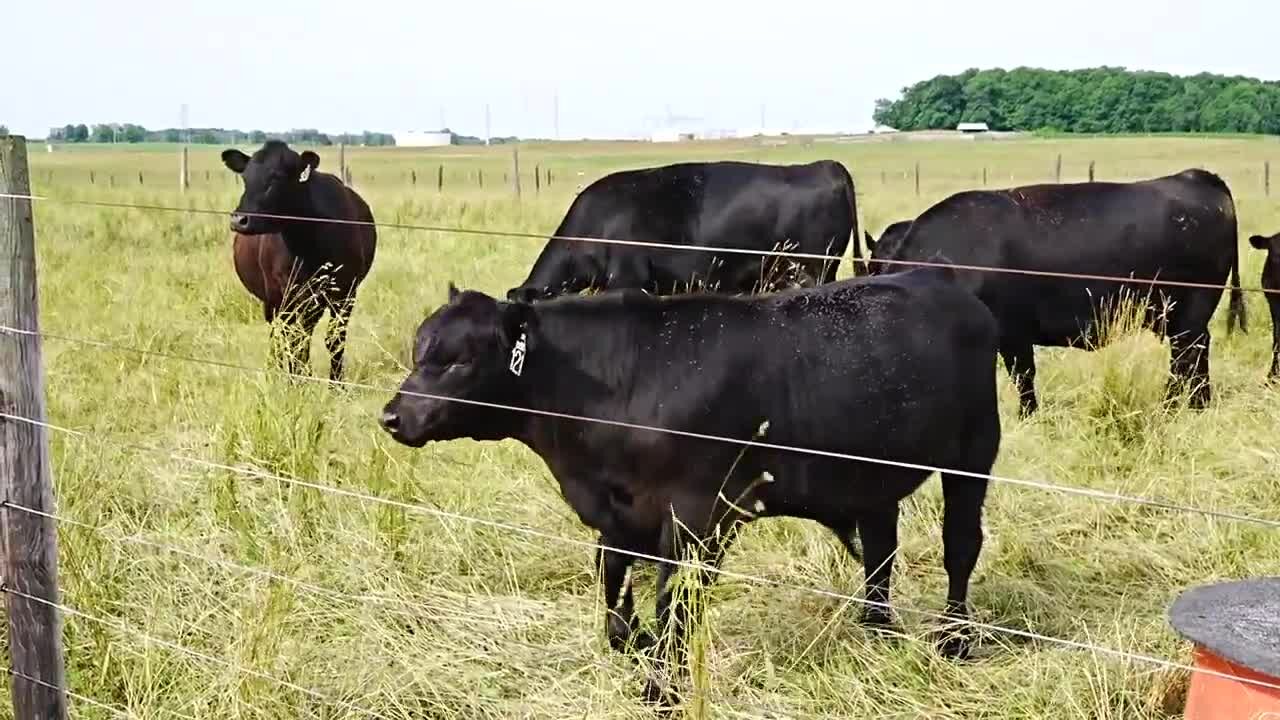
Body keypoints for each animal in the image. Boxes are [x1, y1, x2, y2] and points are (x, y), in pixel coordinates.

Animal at [221, 136, 373, 379]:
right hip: (275, 301)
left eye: (277, 178)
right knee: (280, 335)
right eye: (245, 177)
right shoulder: (285, 292)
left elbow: (334, 340)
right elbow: (293, 341)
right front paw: (296, 380)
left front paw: (336, 383)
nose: (239, 220)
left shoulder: (346, 291)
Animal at [376, 266, 998, 702]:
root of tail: (944, 285)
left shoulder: (697, 517)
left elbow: (673, 606)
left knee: (960, 547)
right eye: (420, 350)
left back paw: (954, 640)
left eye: (459, 360)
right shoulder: (620, 514)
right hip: (870, 475)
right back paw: (876, 629)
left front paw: (660, 689)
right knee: (880, 551)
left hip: (974, 457)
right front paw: (637, 651)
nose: (393, 416)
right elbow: (615, 597)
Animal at [865, 169, 1244, 415]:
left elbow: (1023, 376)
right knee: (1193, 354)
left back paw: (1176, 406)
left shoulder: (1011, 332)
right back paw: (1196, 404)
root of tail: (1197, 177)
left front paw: (1028, 415)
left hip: (1189, 308)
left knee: (1188, 354)